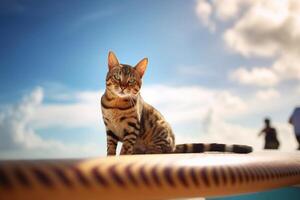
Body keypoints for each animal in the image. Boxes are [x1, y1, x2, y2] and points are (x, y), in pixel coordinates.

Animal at [101, 51, 253, 155]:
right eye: (117, 77)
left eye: (131, 81)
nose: (122, 86)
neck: (116, 105)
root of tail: (174, 145)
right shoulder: (110, 129)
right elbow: (110, 148)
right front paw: (111, 158)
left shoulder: (132, 128)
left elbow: (125, 148)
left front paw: (122, 157)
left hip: (160, 130)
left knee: (162, 150)